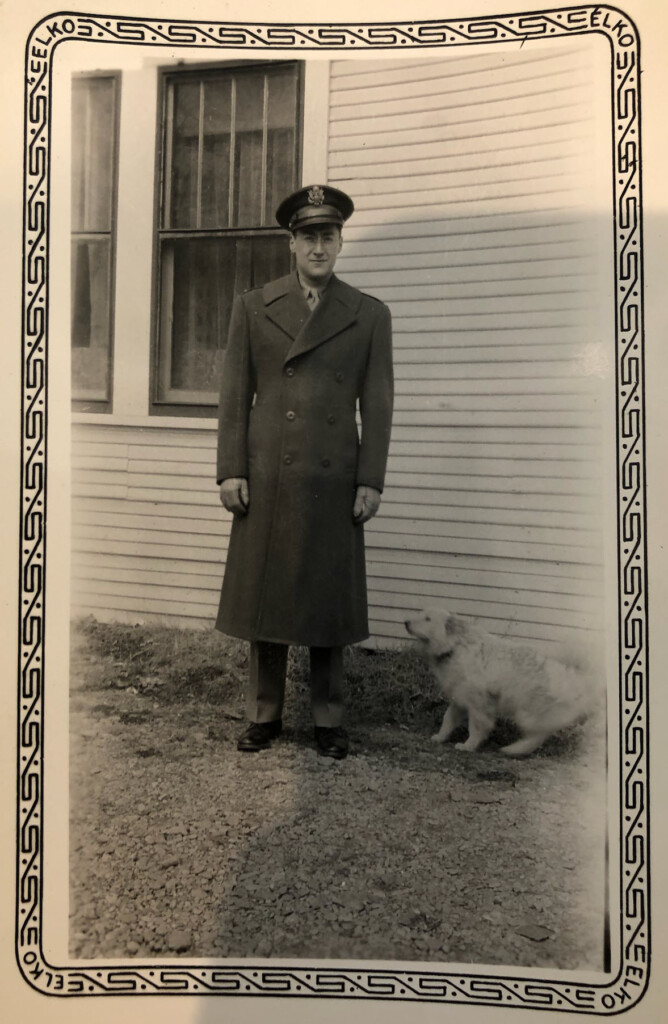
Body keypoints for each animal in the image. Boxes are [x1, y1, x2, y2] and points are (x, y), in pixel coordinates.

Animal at [403, 602, 602, 757]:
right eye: (420, 614)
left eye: (427, 619)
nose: (405, 622)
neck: (454, 646)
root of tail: (570, 674)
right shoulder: (459, 698)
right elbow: (448, 719)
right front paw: (440, 737)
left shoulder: (478, 704)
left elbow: (476, 727)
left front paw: (468, 746)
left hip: (526, 713)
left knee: (539, 734)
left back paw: (514, 749)